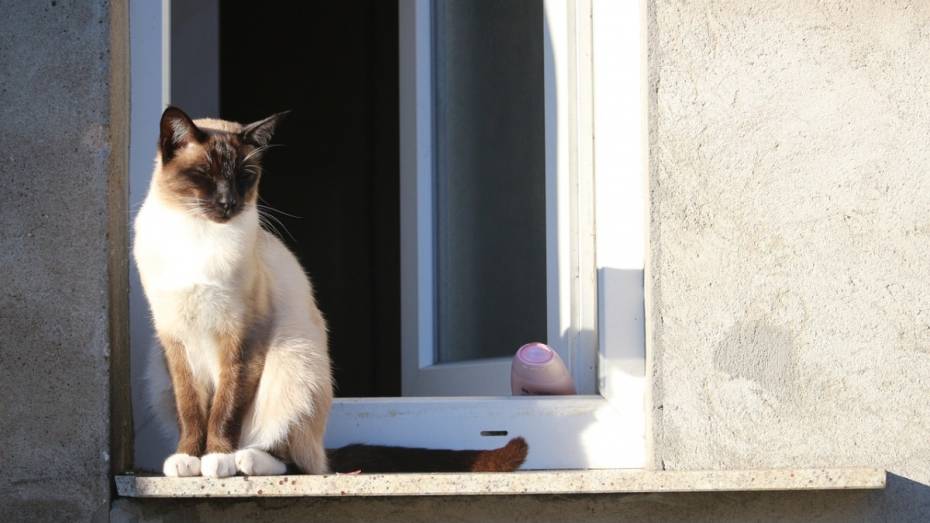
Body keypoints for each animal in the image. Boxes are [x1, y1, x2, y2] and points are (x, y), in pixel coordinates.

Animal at [133, 106, 524, 478]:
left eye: (244, 177)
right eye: (204, 175)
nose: (229, 203)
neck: (197, 236)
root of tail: (323, 447)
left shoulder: (242, 337)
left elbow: (225, 409)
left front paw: (216, 457)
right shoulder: (174, 339)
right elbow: (191, 410)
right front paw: (188, 458)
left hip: (291, 361)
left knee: (299, 460)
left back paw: (246, 459)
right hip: (157, 366)